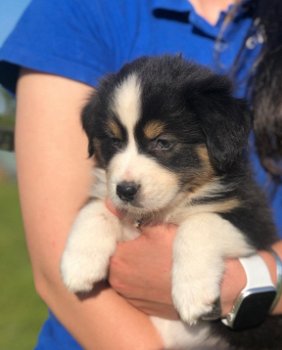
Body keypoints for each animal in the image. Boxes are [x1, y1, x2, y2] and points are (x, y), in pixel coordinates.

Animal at [60, 56, 280, 348]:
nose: (125, 190)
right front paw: (78, 266)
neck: (169, 207)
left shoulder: (253, 218)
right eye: (114, 141)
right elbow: (96, 208)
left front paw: (192, 293)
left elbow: (199, 223)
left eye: (162, 142)